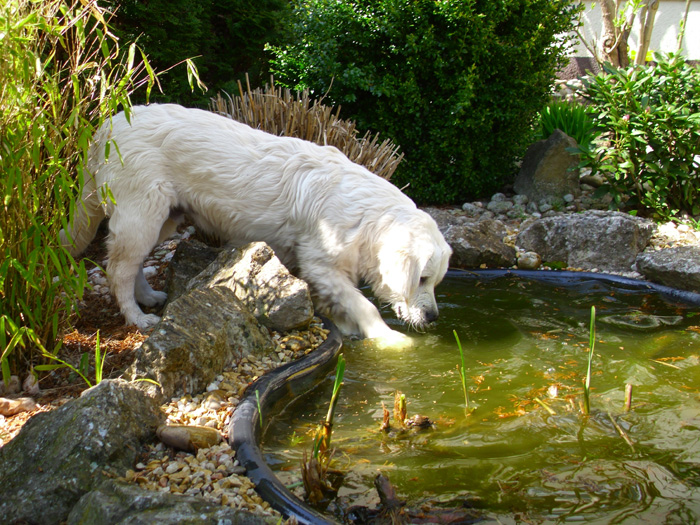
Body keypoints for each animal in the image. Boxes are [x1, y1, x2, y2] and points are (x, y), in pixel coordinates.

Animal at [63, 105, 452, 344]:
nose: (434, 317)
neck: (370, 216)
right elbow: (364, 304)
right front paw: (389, 338)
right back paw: (137, 318)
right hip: (142, 210)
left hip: (163, 217)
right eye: (421, 279)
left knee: (133, 264)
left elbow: (342, 305)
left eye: (436, 282)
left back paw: (148, 297)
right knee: (118, 268)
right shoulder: (321, 264)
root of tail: (105, 126)